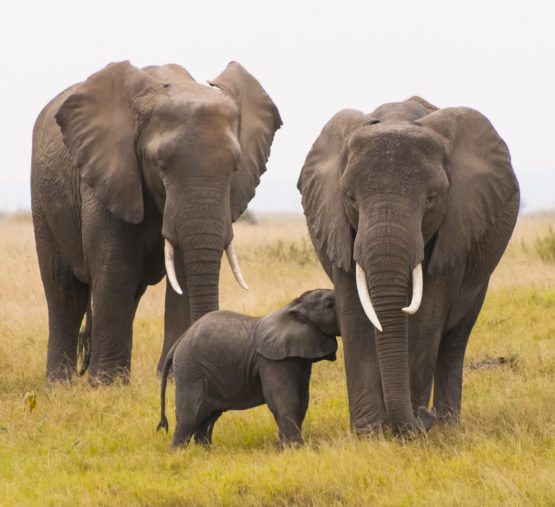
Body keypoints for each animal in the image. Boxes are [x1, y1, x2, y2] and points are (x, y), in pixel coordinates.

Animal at [31, 59, 282, 384]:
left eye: (235, 166)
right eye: (161, 165)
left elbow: (183, 273)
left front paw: (172, 377)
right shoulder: (109, 175)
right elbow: (117, 267)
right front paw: (107, 386)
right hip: (42, 198)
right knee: (64, 291)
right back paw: (60, 385)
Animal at [156, 290, 338, 448]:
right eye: (330, 305)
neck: (293, 306)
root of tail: (179, 341)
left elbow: (302, 400)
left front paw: (283, 447)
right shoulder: (271, 360)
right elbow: (285, 401)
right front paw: (294, 450)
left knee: (206, 418)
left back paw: (207, 452)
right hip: (190, 371)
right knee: (191, 416)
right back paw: (176, 454)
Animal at [300, 97, 520, 434]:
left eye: (431, 199)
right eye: (350, 198)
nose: (422, 413)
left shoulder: (455, 228)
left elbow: (426, 318)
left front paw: (405, 434)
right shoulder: (338, 226)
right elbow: (354, 314)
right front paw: (370, 435)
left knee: (455, 339)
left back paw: (447, 426)